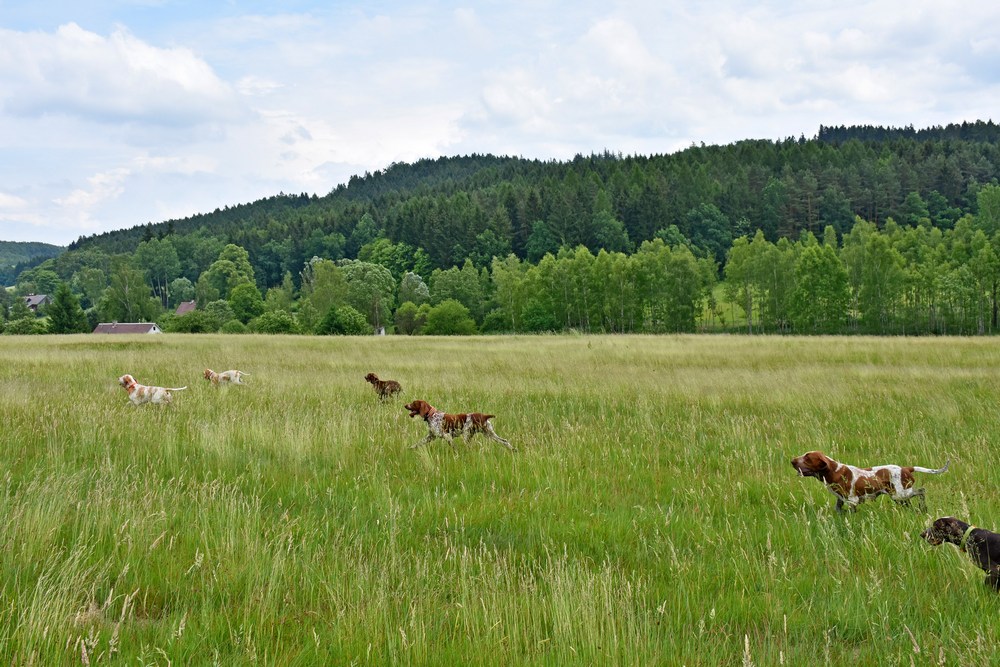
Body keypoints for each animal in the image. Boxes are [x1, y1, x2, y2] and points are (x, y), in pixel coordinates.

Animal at [792, 452, 948, 516]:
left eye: (807, 458)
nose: (792, 461)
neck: (834, 471)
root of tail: (906, 468)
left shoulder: (852, 501)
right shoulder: (840, 499)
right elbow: (838, 509)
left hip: (900, 494)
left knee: (921, 490)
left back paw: (923, 508)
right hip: (899, 497)